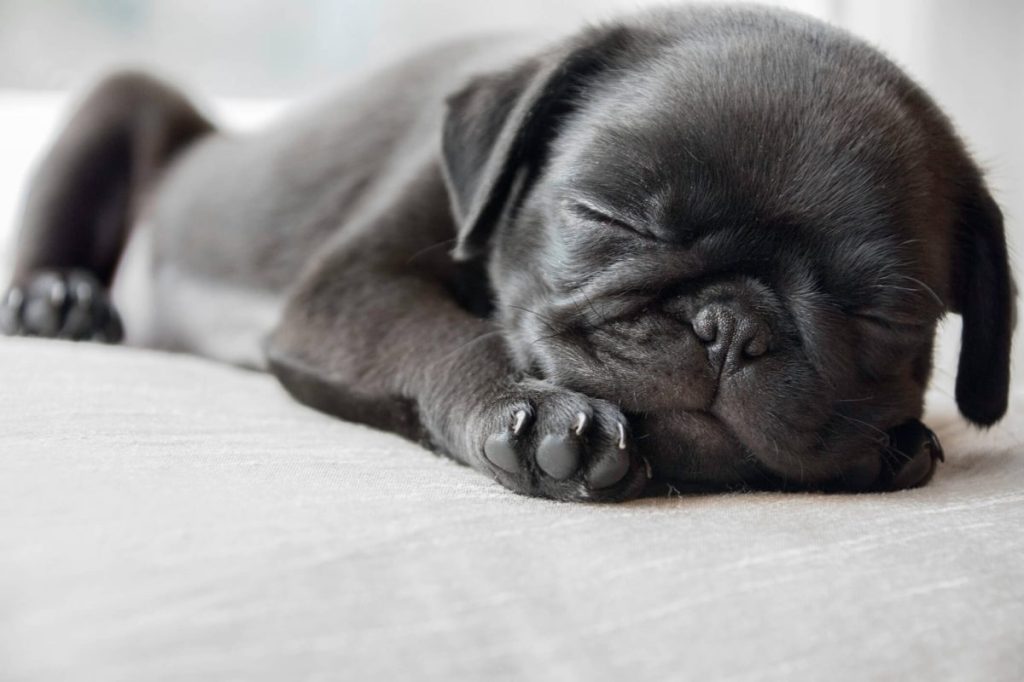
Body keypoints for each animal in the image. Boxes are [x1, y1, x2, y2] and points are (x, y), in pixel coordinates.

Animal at [0, 5, 1011, 499]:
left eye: (884, 315)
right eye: (612, 219)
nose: (730, 326)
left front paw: (895, 444)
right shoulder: (349, 291)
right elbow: (451, 335)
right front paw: (531, 413)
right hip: (124, 98)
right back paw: (57, 301)